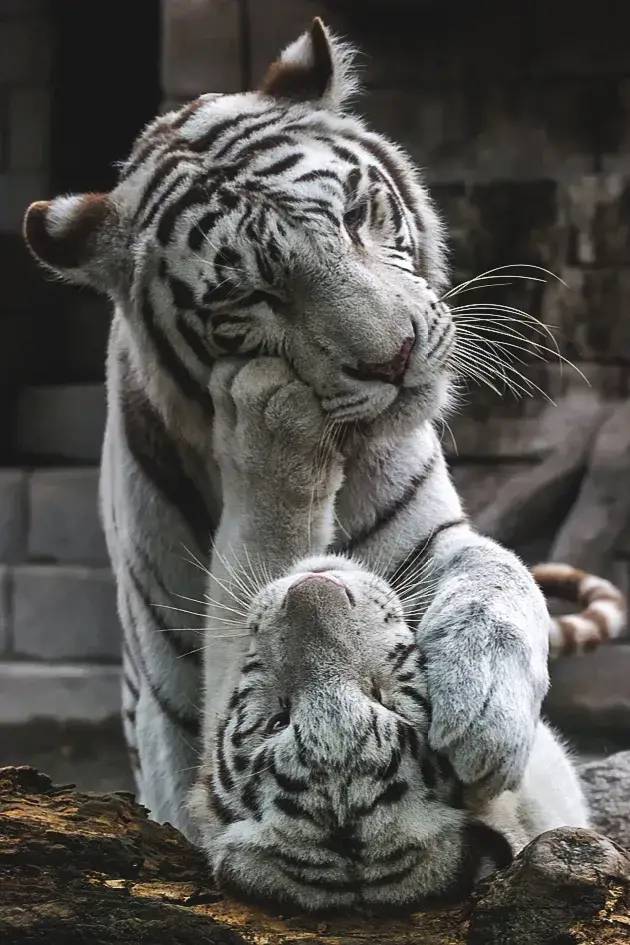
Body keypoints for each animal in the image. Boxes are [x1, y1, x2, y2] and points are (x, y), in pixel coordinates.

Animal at [22, 18, 624, 848]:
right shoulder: (180, 728)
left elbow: (498, 571)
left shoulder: (427, 542)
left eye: (355, 214)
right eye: (251, 296)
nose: (395, 357)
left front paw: (484, 707)